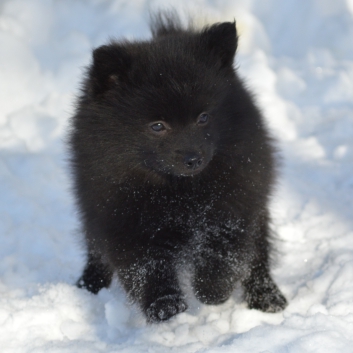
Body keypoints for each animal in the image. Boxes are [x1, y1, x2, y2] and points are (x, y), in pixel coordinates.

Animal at [69, 13, 286, 322]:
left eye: (203, 117)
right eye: (157, 126)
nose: (193, 158)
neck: (178, 190)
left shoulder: (236, 201)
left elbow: (224, 249)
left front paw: (212, 290)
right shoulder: (121, 215)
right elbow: (145, 265)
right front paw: (164, 304)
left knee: (258, 255)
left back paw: (267, 297)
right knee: (95, 249)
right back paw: (89, 285)